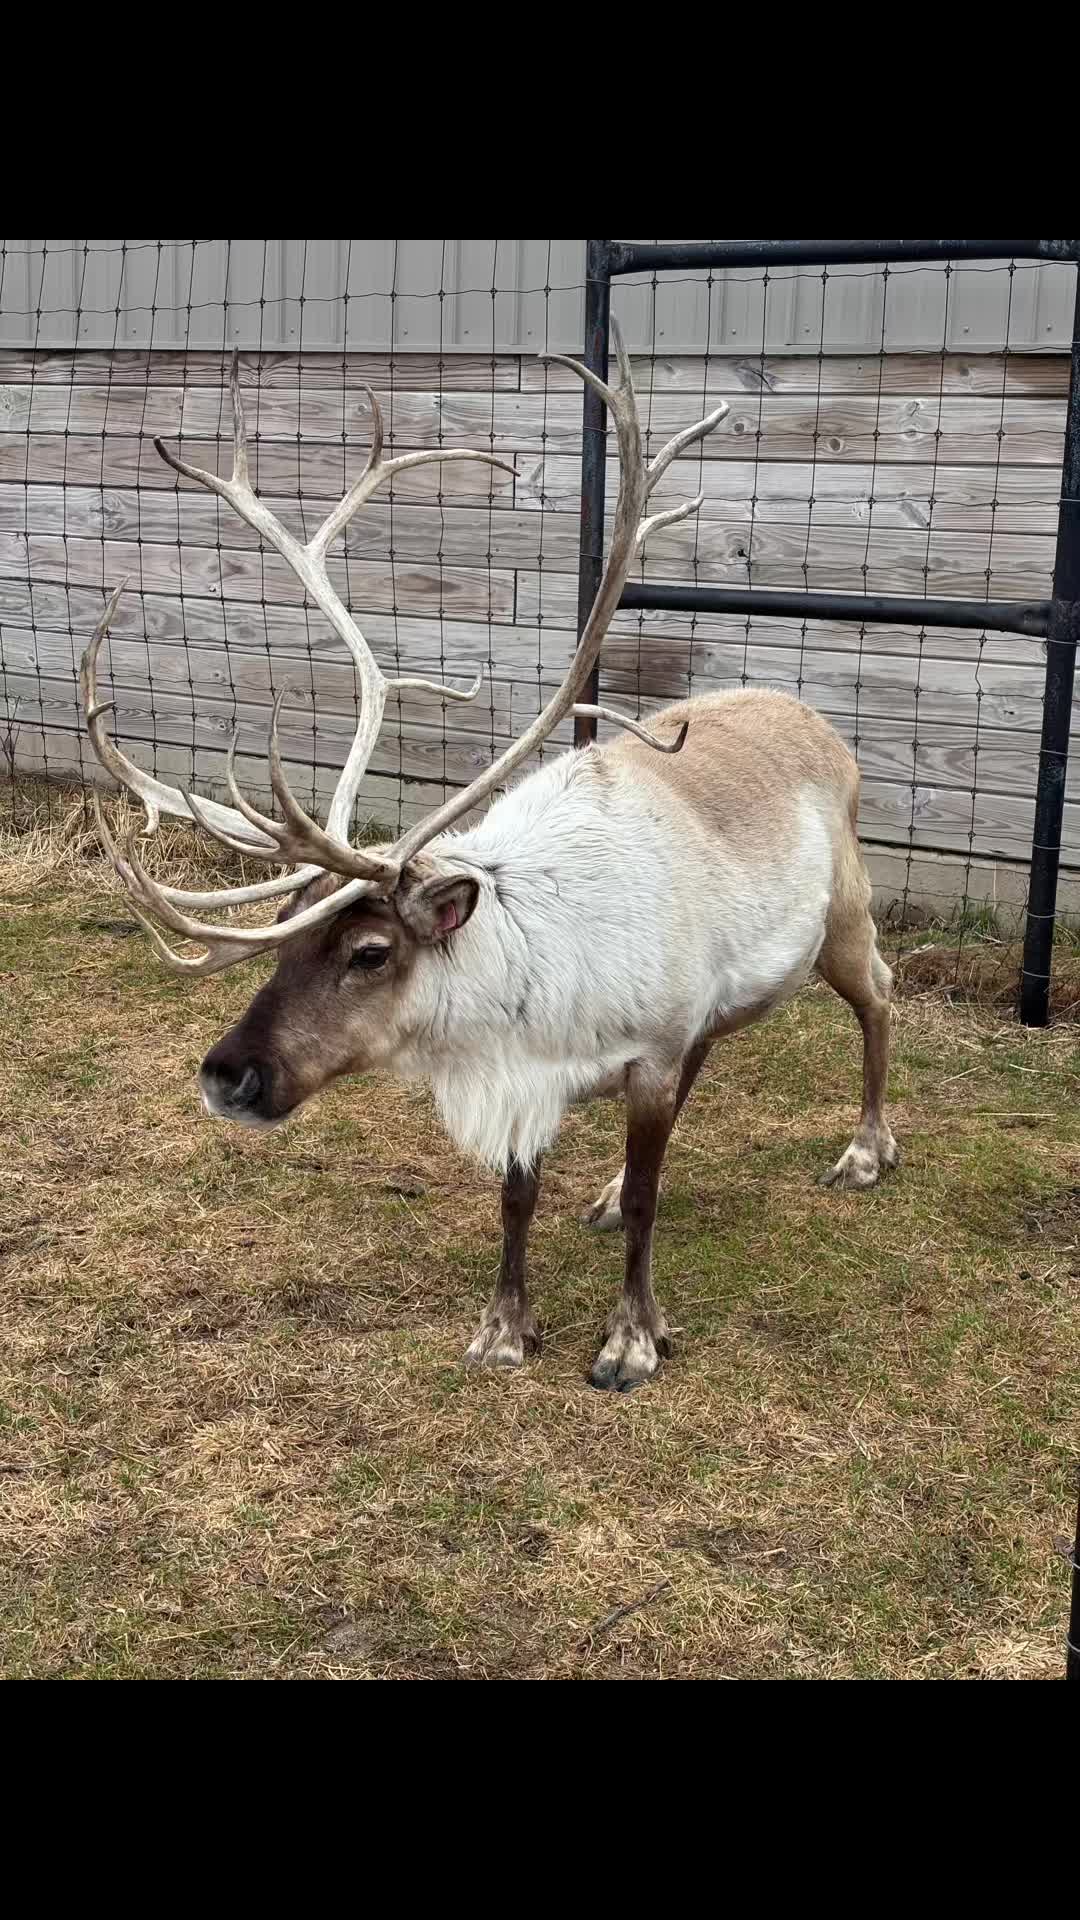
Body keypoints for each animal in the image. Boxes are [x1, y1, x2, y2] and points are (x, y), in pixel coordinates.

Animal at [79, 324, 899, 1392]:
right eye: (280, 940)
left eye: (371, 952)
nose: (227, 1076)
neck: (538, 986)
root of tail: (815, 719)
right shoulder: (531, 1076)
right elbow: (518, 1198)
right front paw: (504, 1327)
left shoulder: (646, 1050)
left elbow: (650, 1201)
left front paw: (631, 1340)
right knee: (715, 1054)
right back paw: (612, 1189)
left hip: (841, 914)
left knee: (879, 997)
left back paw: (868, 1150)